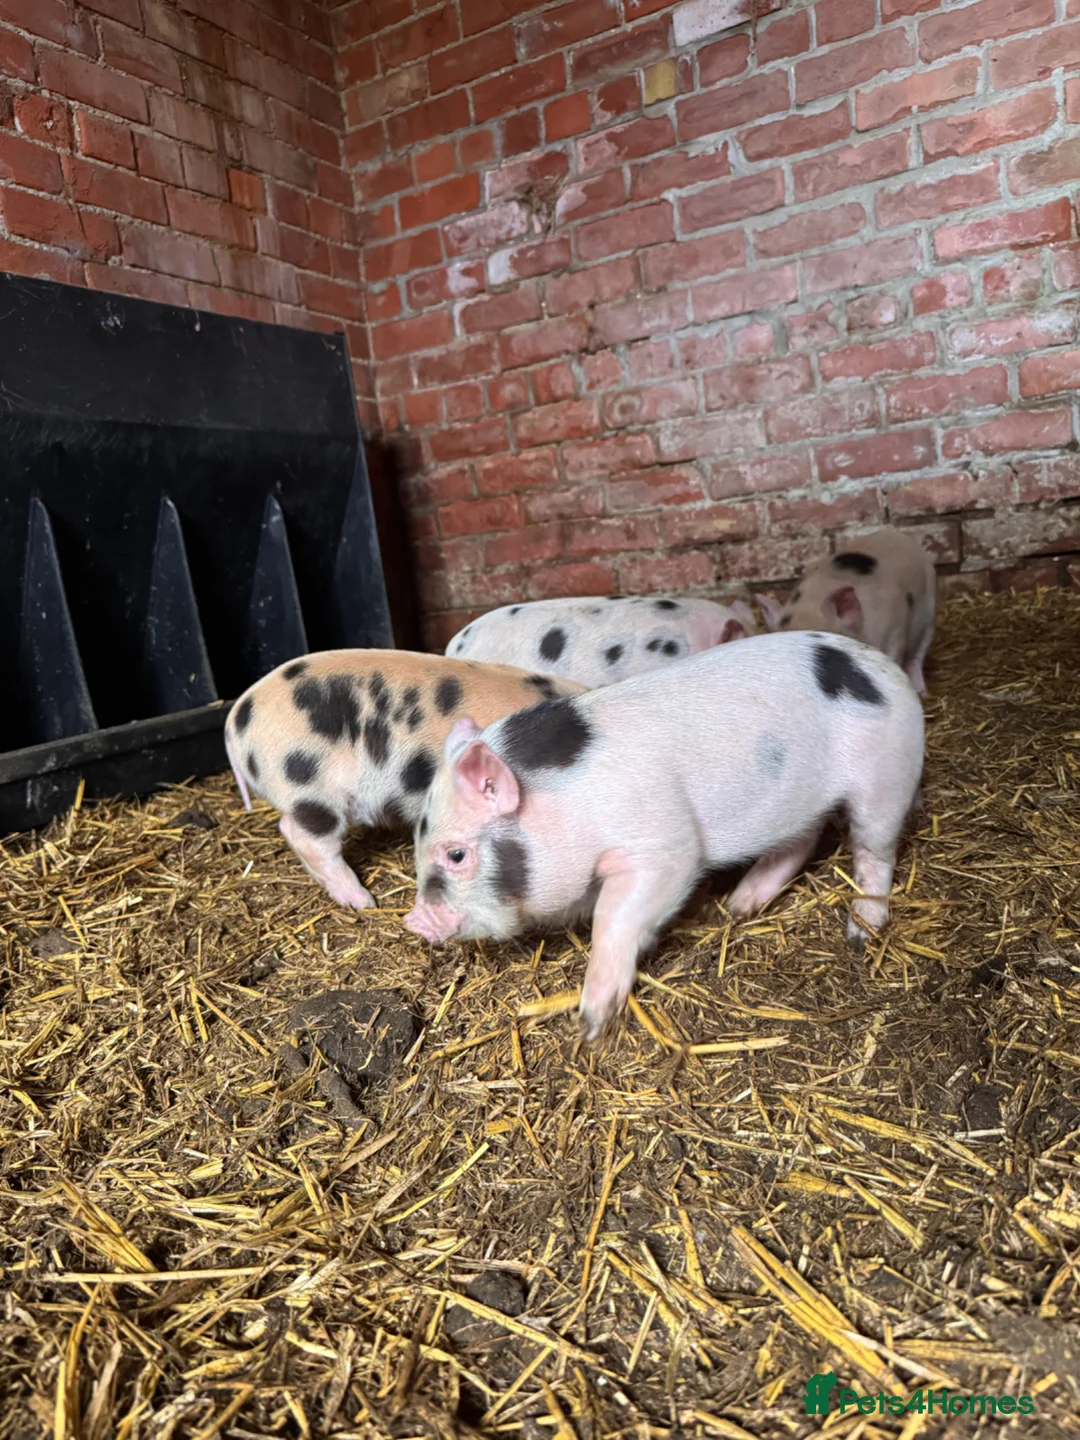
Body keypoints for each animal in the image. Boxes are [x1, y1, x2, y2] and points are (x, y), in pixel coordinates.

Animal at [405, 630, 924, 1039]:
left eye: (456, 855)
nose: (416, 922)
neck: (566, 803)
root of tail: (882, 666)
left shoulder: (664, 847)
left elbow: (614, 917)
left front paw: (591, 1024)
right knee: (802, 840)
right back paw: (739, 906)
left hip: (886, 776)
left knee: (874, 851)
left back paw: (860, 933)